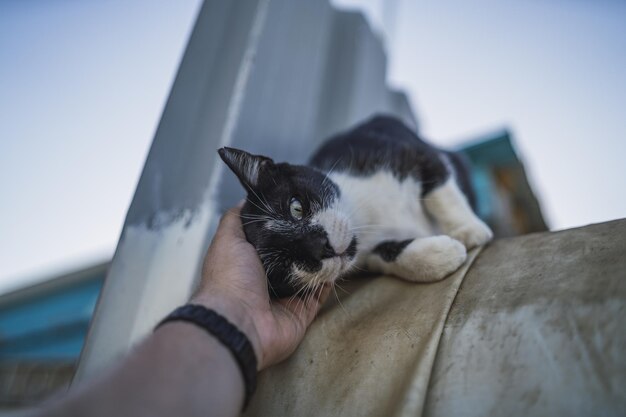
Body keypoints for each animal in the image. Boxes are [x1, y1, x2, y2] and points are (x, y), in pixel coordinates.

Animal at [217, 114, 490, 296]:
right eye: (283, 264)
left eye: (296, 208)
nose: (322, 246)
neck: (366, 219)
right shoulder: (366, 255)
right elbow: (383, 255)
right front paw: (439, 257)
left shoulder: (403, 151)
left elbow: (439, 187)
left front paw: (468, 230)